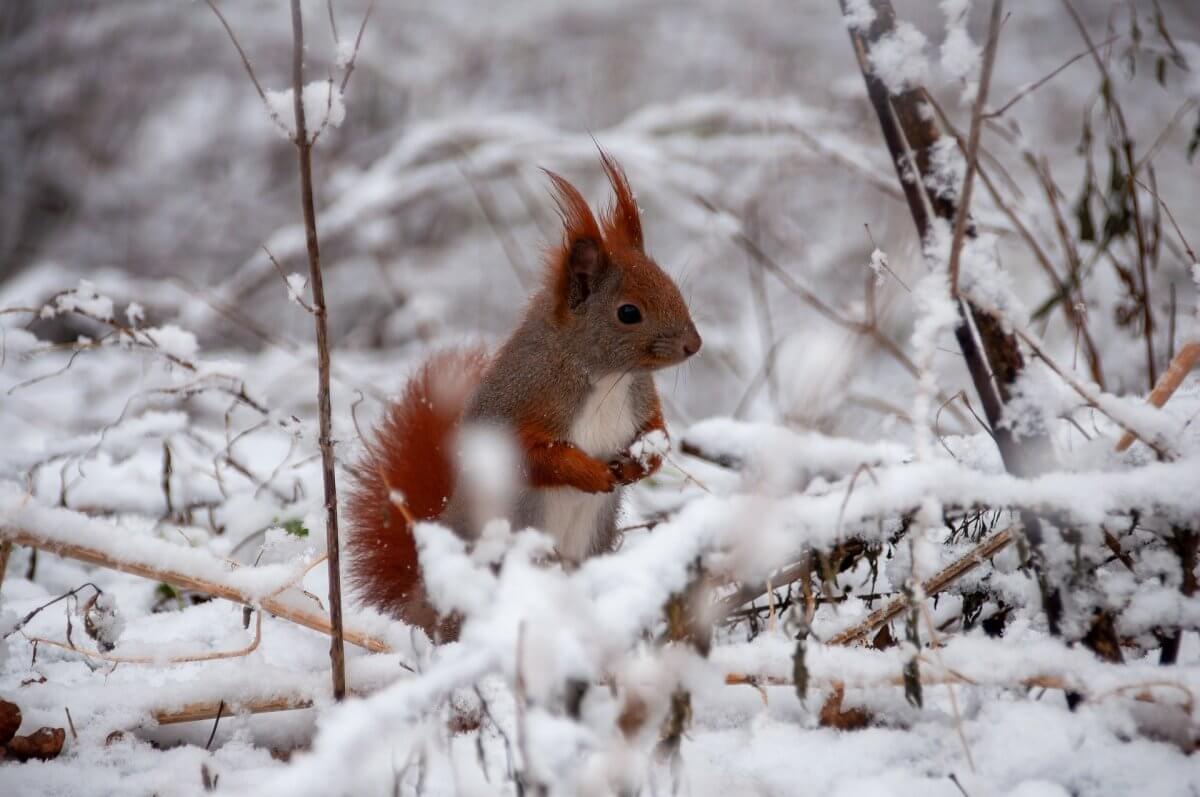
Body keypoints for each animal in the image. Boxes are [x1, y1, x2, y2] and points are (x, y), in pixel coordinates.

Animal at [348, 153, 700, 643]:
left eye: (673, 286)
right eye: (628, 312)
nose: (694, 345)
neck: (604, 376)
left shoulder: (640, 401)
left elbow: (658, 435)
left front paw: (639, 464)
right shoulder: (516, 406)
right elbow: (532, 456)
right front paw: (589, 472)